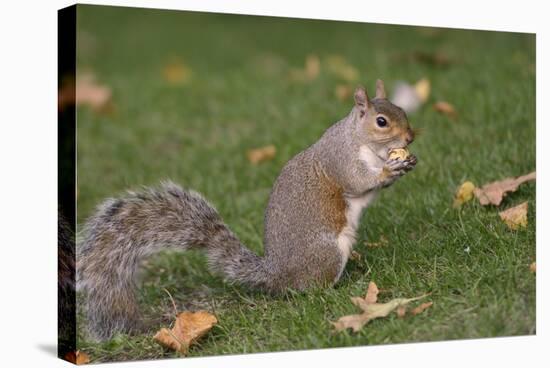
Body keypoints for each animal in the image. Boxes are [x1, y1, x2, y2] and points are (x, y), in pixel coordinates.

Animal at [77, 79, 418, 340]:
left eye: (402, 111)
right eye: (381, 121)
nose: (410, 137)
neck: (361, 141)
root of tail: (277, 275)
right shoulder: (341, 161)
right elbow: (359, 182)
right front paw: (389, 170)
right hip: (327, 253)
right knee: (309, 289)